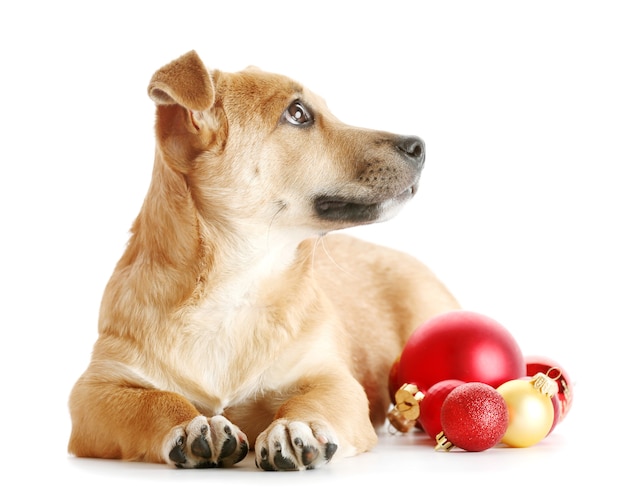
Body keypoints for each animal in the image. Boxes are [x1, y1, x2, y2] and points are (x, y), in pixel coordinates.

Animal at [68, 50, 458, 468]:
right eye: (298, 113)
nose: (419, 146)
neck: (236, 287)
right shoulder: (93, 393)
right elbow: (156, 401)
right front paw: (190, 423)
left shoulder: (335, 380)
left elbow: (313, 400)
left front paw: (295, 426)